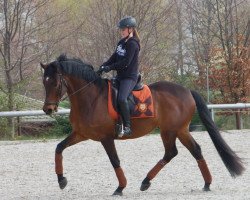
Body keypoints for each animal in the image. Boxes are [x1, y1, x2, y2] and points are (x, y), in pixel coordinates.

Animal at [40, 54, 244, 195]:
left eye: (55, 83)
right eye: (44, 82)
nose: (48, 109)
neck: (91, 98)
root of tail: (187, 91)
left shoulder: (106, 138)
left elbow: (114, 160)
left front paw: (120, 187)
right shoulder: (81, 134)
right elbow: (59, 148)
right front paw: (61, 180)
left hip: (169, 130)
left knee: (171, 153)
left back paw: (146, 181)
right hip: (180, 130)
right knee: (194, 150)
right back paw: (206, 183)